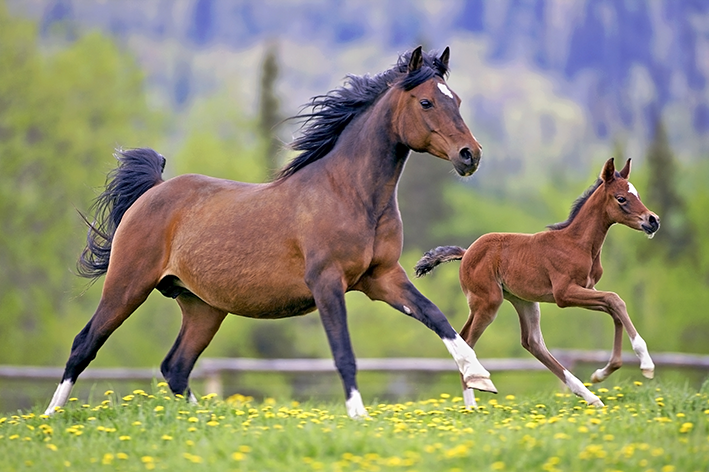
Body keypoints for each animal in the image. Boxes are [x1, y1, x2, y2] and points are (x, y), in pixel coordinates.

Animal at [44, 46, 498, 418]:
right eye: (426, 101)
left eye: (456, 100)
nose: (470, 155)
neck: (349, 194)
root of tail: (153, 191)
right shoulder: (327, 282)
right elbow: (343, 351)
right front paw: (359, 416)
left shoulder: (382, 277)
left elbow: (437, 317)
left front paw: (480, 377)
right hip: (128, 284)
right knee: (84, 344)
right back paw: (50, 417)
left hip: (202, 306)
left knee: (175, 367)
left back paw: (208, 418)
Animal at [414, 157, 660, 408]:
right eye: (621, 198)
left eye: (638, 194)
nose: (653, 220)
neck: (578, 244)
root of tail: (466, 253)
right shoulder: (564, 294)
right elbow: (615, 299)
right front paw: (646, 364)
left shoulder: (586, 289)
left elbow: (614, 309)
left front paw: (602, 373)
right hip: (488, 302)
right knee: (467, 340)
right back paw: (473, 401)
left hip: (524, 301)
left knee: (532, 342)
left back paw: (590, 397)